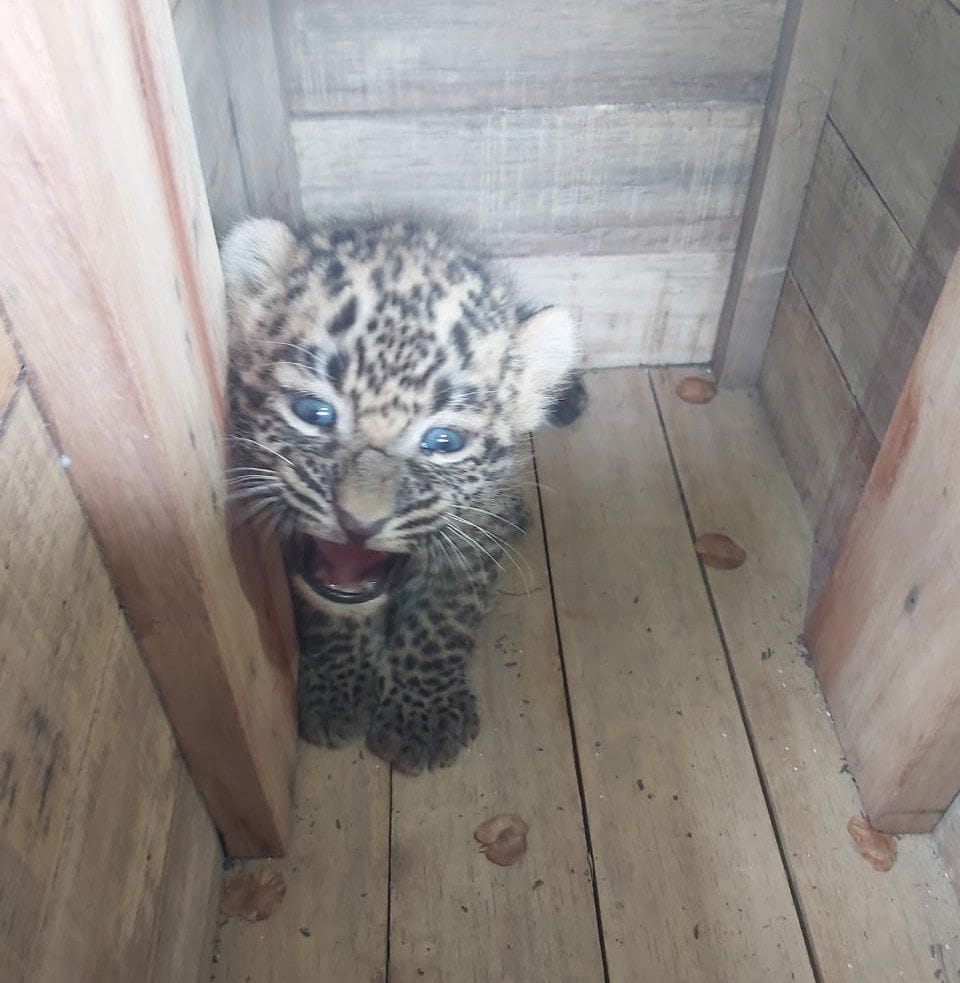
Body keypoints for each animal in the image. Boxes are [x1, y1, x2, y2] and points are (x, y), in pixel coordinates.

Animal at [221, 216, 586, 774]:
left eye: (444, 442)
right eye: (313, 412)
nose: (358, 523)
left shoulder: (468, 549)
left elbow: (445, 619)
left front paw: (423, 715)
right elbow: (327, 613)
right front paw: (338, 687)